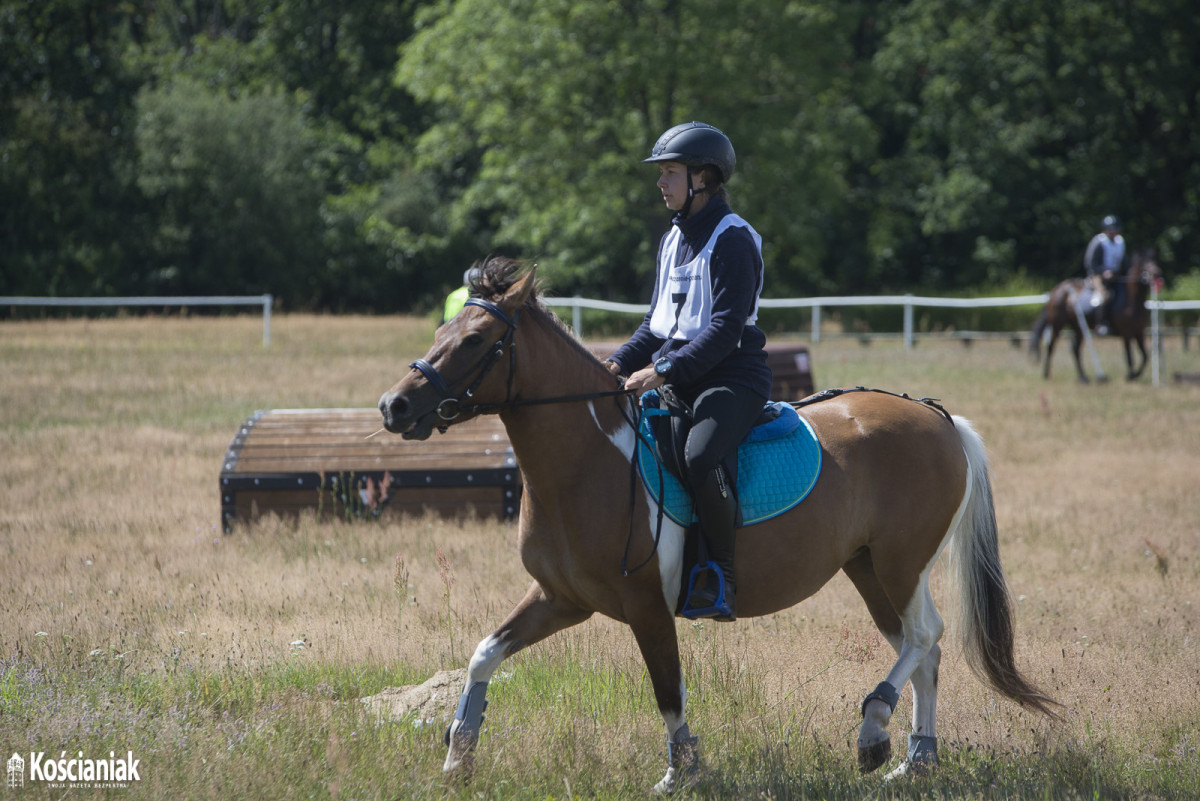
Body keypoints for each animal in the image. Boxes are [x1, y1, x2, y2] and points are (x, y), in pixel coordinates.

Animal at [376, 257, 1060, 796]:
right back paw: (917, 761)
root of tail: (937, 418)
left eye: (476, 339)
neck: (590, 459)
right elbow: (483, 654)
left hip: (900, 563)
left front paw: (682, 772)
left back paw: (873, 731)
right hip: (868, 569)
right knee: (923, 651)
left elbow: (668, 691)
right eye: (441, 329)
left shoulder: (648, 607)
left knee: (925, 635)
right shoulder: (559, 599)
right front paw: (458, 754)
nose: (394, 405)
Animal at [1032, 248, 1161, 383]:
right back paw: (1046, 374)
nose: (1157, 273)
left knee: (1075, 349)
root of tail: (1056, 290)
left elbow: (1145, 355)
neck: (1131, 300)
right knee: (1051, 346)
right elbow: (1130, 357)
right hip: (1057, 324)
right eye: (1144, 264)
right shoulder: (1126, 332)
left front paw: (1134, 374)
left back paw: (1083, 377)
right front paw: (1131, 376)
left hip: (1078, 326)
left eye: (1154, 260)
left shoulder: (1138, 332)